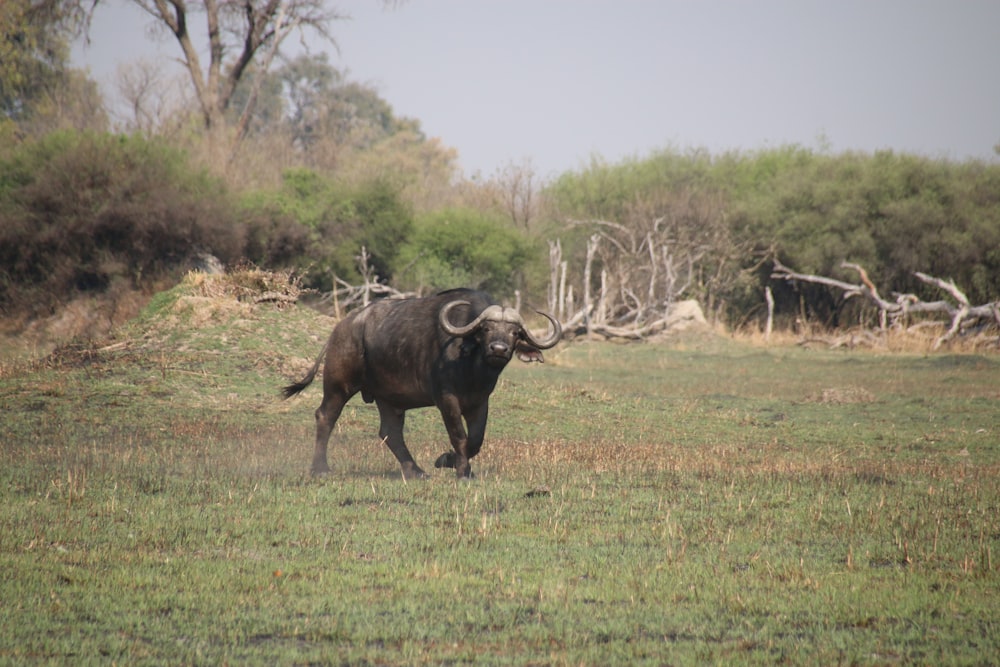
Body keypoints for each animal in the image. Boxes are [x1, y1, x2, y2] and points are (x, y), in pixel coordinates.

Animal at [284, 290, 564, 478]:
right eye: (485, 329)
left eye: (515, 333)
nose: (499, 349)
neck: (472, 368)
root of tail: (341, 328)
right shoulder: (446, 400)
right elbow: (459, 435)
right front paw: (460, 469)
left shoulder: (480, 402)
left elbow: (476, 440)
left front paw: (448, 461)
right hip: (338, 384)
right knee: (326, 417)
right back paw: (320, 469)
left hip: (387, 398)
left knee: (390, 432)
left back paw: (415, 471)